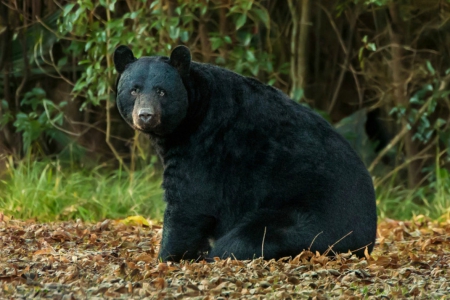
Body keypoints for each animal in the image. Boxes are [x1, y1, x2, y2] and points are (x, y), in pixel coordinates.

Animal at [112, 45, 376, 262]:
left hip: (305, 220)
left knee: (244, 239)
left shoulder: (205, 146)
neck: (193, 114)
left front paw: (168, 256)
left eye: (161, 91)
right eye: (134, 90)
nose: (146, 116)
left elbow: (189, 202)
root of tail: (367, 240)